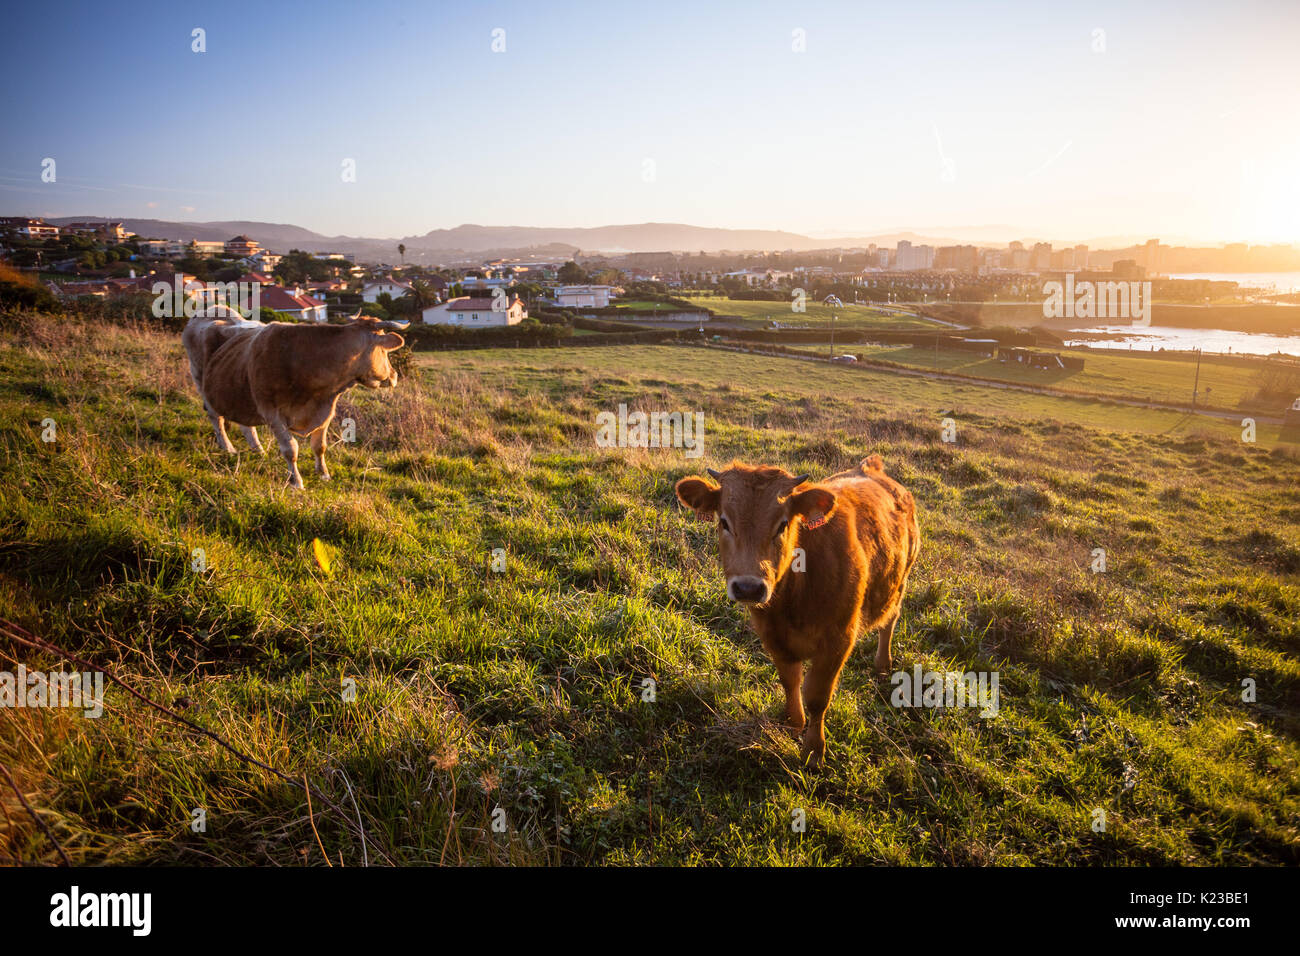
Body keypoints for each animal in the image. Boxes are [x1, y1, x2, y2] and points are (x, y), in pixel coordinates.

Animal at [182, 307, 408, 489]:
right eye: (386, 352)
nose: (395, 375)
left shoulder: (326, 410)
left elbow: (319, 446)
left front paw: (324, 474)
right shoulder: (271, 412)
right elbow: (291, 449)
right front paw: (297, 482)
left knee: (246, 425)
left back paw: (258, 451)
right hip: (200, 379)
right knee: (216, 418)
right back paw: (228, 448)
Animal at [675, 455, 920, 765]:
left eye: (782, 524)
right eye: (724, 522)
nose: (748, 588)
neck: (793, 600)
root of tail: (872, 468)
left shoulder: (839, 640)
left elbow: (817, 696)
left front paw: (814, 750)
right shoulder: (773, 636)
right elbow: (790, 681)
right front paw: (794, 724)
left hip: (901, 579)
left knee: (890, 620)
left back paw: (882, 663)